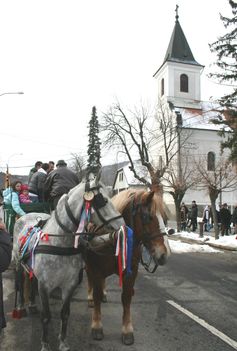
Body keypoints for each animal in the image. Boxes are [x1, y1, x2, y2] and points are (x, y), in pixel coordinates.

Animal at [12, 175, 125, 351]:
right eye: (103, 200)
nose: (122, 225)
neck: (59, 241)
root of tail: (26, 216)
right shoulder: (44, 286)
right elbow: (46, 316)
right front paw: (45, 344)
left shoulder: (69, 284)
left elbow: (65, 314)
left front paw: (63, 342)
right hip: (18, 262)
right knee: (19, 281)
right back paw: (21, 307)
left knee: (30, 281)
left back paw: (32, 304)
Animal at [84, 190, 170, 346]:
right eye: (147, 217)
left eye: (165, 219)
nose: (163, 255)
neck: (114, 236)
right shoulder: (97, 269)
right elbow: (97, 295)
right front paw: (97, 326)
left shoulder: (131, 272)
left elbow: (126, 298)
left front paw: (127, 330)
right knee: (90, 279)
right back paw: (90, 298)